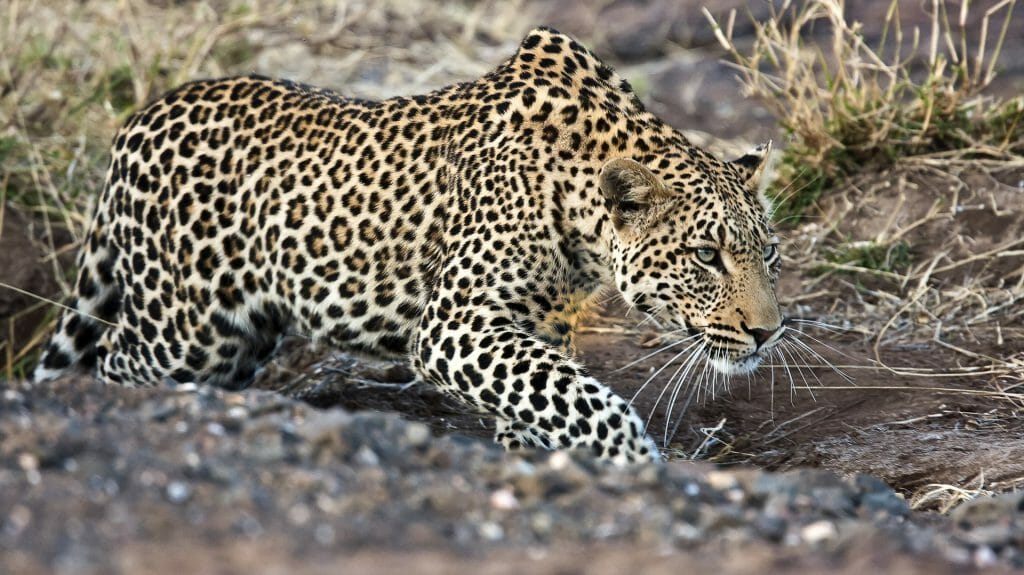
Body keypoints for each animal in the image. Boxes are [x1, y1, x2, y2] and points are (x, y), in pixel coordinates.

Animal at [34, 27, 785, 465]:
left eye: (769, 255)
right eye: (706, 256)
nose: (769, 332)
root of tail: (139, 118)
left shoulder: (532, 327)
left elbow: (547, 396)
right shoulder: (456, 323)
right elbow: (583, 398)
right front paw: (635, 459)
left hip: (236, 340)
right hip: (184, 331)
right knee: (113, 362)